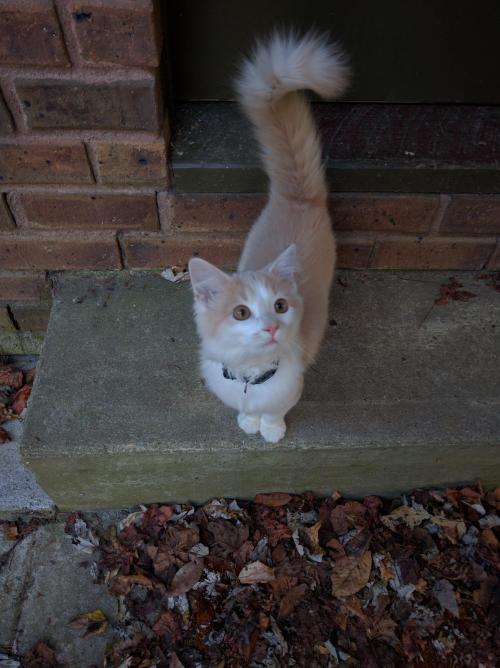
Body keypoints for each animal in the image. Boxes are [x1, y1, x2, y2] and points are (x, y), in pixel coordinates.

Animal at [189, 30, 350, 444]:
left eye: (280, 306)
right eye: (241, 312)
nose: (272, 326)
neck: (251, 374)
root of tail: (297, 197)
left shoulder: (290, 387)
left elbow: (275, 411)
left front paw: (270, 429)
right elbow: (245, 410)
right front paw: (248, 421)